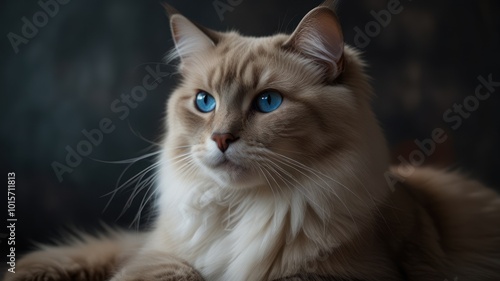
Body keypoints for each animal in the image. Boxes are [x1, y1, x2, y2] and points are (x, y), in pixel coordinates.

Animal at [5, 2, 500, 280]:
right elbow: (166, 269)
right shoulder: (163, 252)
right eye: (204, 102)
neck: (240, 211)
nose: (221, 137)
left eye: (267, 102)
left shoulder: (343, 273)